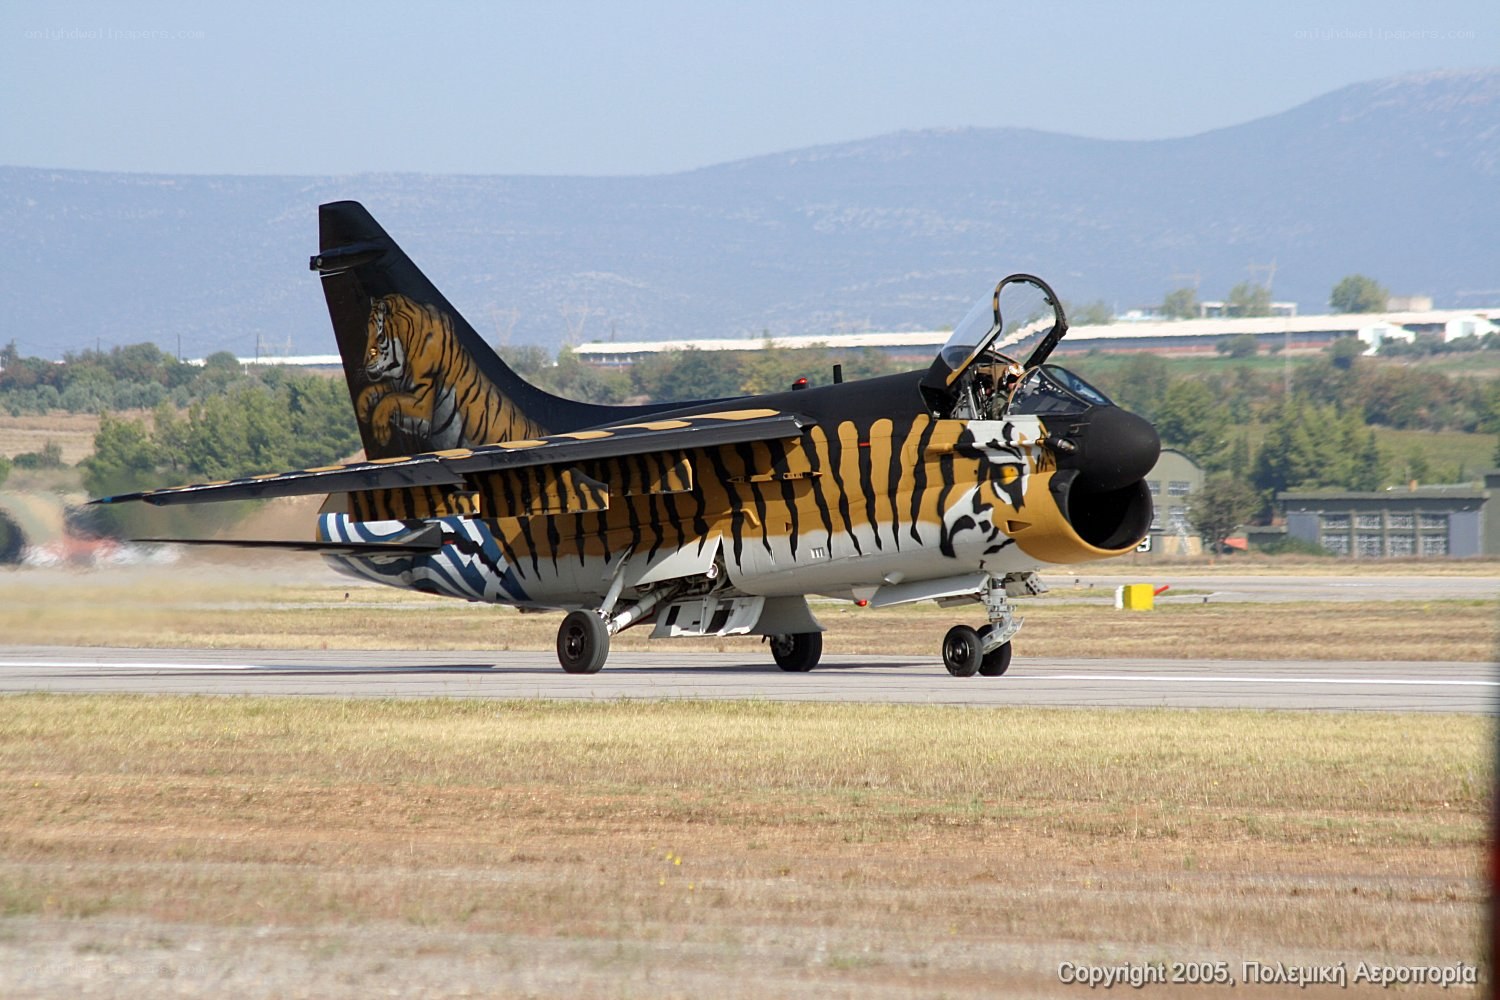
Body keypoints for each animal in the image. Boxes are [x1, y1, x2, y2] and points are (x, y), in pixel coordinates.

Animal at [356, 293, 548, 455]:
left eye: (380, 338)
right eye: (366, 333)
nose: (364, 364)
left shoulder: (423, 406)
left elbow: (389, 400)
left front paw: (380, 429)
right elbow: (383, 392)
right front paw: (364, 407)